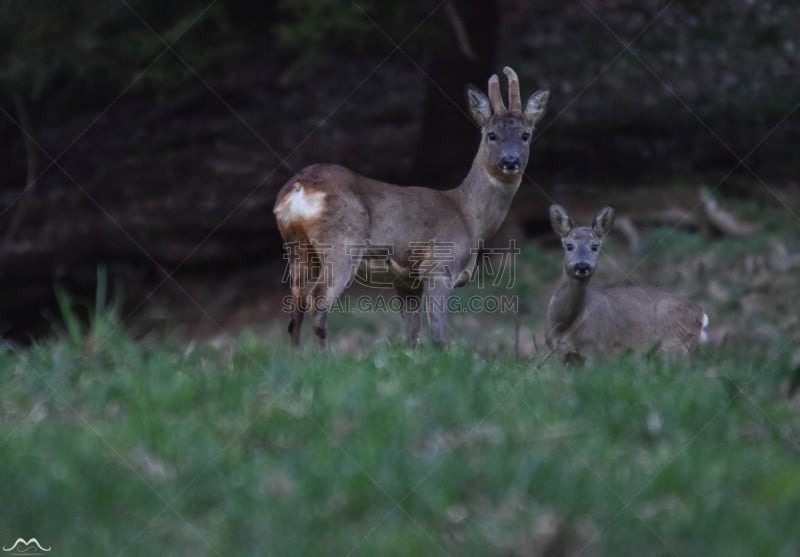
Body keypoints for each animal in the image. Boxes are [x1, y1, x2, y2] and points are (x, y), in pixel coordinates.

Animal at [276, 66, 552, 348]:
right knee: (317, 301)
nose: (511, 161)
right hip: (341, 243)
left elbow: (412, 337)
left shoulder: (406, 282)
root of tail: (299, 185)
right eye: (491, 135)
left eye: (526, 135)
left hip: (297, 248)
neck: (470, 217)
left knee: (295, 306)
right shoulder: (438, 267)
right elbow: (438, 336)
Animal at [544, 202, 708, 362]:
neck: (564, 325)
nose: (582, 266)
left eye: (595, 246)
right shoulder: (560, 355)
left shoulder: (596, 349)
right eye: (569, 245)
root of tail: (701, 314)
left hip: (674, 341)